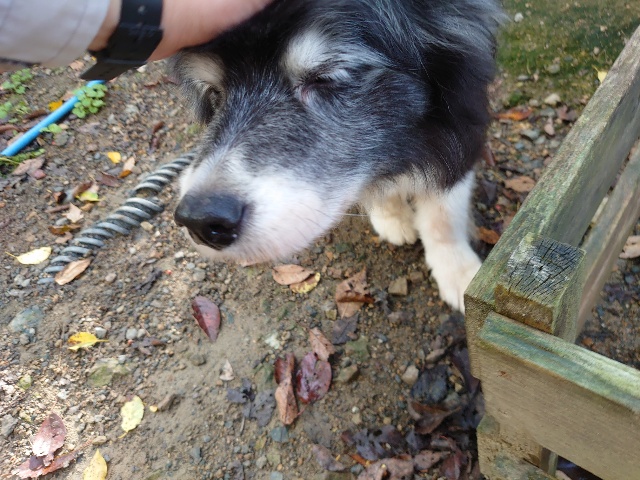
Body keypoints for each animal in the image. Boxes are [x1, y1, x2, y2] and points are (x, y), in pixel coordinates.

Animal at [172, 0, 503, 312]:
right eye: (215, 92)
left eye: (323, 77)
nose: (200, 221)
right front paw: (392, 216)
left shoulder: (461, 130)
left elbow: (442, 216)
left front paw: (458, 271)